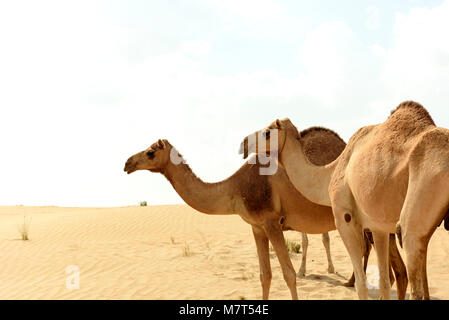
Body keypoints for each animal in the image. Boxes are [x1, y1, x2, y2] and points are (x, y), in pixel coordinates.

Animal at [123, 127, 350, 300]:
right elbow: (265, 275)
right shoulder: (257, 227)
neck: (237, 186)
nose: (127, 163)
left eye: (150, 152)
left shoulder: (272, 222)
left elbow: (289, 274)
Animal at [238, 100, 448, 300]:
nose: (244, 143)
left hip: (416, 210)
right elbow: (385, 282)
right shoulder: (378, 227)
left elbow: (362, 284)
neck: (332, 171)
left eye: (267, 132)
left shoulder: (344, 217)